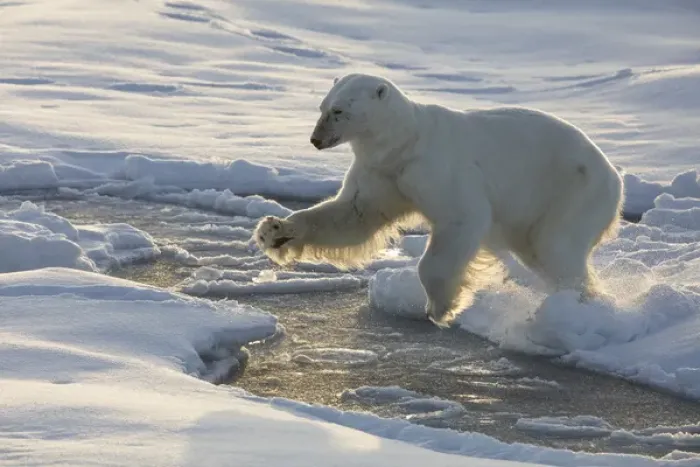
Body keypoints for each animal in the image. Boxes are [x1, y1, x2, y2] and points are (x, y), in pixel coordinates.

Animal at [254, 72, 624, 327]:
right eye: (322, 107)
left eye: (340, 111)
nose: (316, 140)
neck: (405, 140)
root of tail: (615, 176)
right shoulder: (382, 172)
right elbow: (353, 215)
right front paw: (274, 230)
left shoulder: (436, 167)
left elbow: (463, 216)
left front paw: (442, 305)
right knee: (538, 252)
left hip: (572, 192)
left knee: (556, 248)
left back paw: (581, 305)